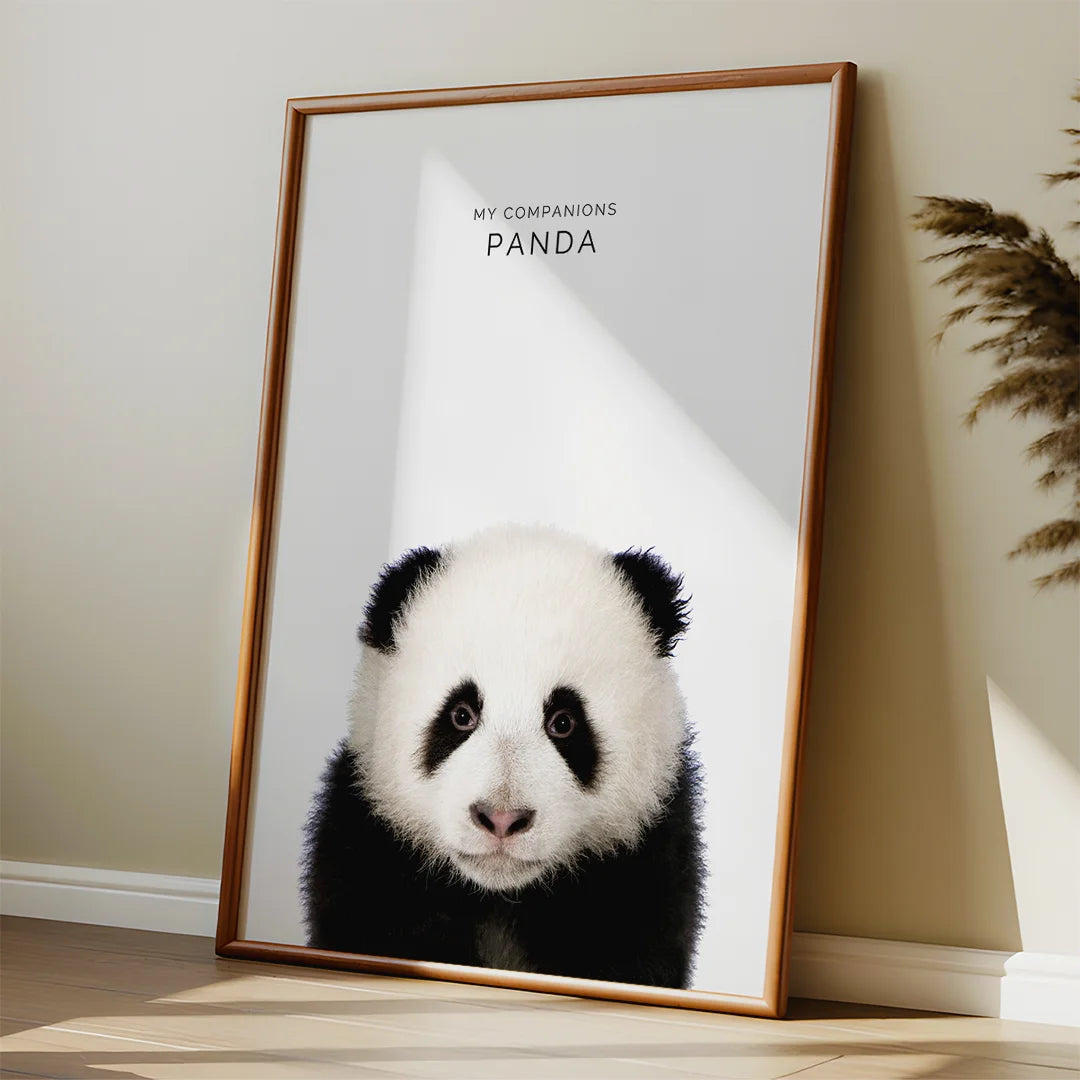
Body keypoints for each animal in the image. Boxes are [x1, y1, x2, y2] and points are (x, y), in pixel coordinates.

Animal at [300, 524, 705, 989]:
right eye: (461, 715)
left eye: (564, 722)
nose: (501, 819)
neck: (501, 894)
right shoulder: (367, 841)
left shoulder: (646, 861)